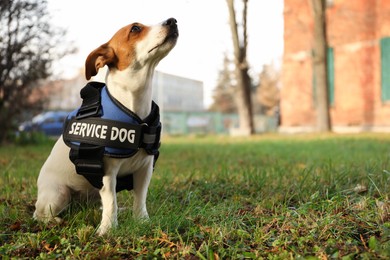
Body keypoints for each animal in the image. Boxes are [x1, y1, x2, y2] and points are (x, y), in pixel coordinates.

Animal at [34, 17, 179, 235]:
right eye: (135, 28)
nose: (173, 20)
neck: (134, 107)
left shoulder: (144, 169)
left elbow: (140, 198)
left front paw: (141, 221)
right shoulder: (107, 173)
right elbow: (111, 200)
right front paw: (108, 229)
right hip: (57, 194)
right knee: (40, 214)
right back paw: (55, 220)